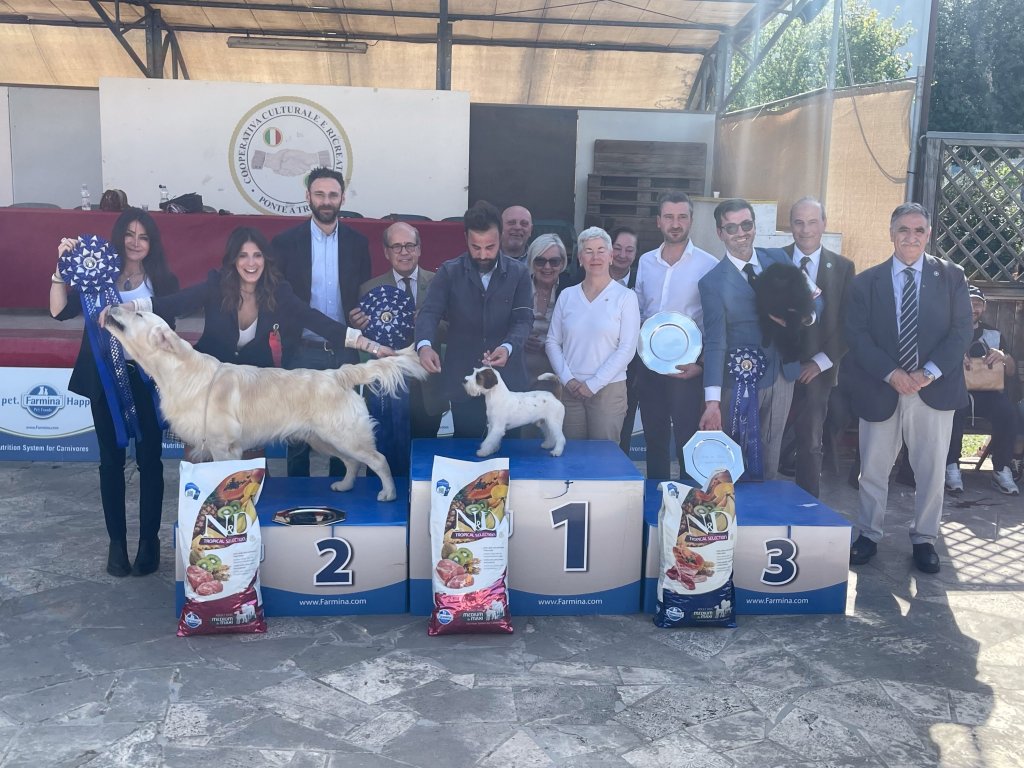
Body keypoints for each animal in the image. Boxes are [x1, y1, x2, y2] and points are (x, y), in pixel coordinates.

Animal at [103, 306, 427, 501]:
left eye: (139, 314)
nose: (113, 306)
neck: (180, 371)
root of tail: (339, 374)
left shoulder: (224, 446)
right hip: (324, 438)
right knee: (352, 463)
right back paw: (345, 485)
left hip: (344, 435)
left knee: (378, 459)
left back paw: (388, 493)